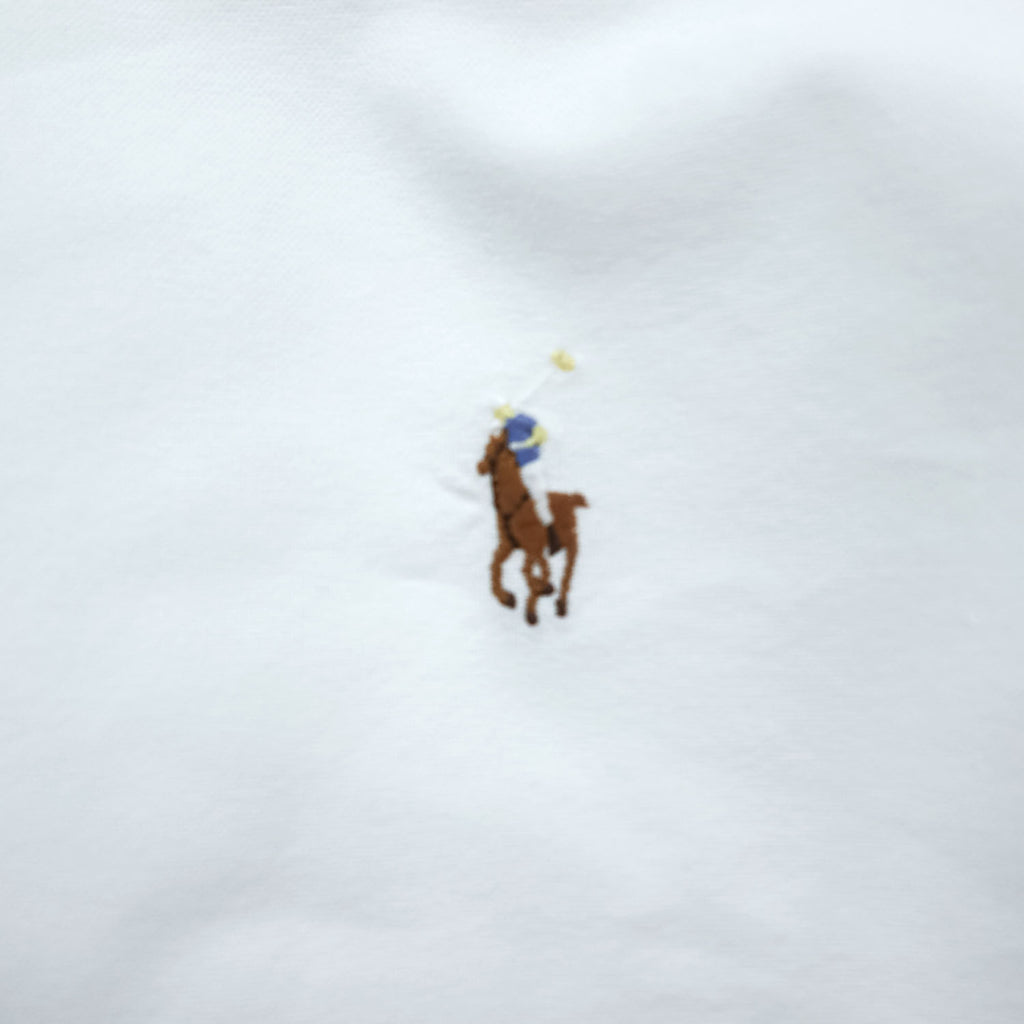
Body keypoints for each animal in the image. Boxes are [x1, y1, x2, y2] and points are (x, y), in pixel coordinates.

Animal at [477, 429, 588, 625]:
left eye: (489, 449)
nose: (479, 467)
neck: (515, 507)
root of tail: (571, 498)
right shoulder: (509, 545)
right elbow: (496, 565)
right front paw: (507, 598)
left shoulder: (533, 548)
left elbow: (530, 572)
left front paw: (534, 605)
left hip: (571, 544)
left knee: (567, 573)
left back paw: (560, 604)